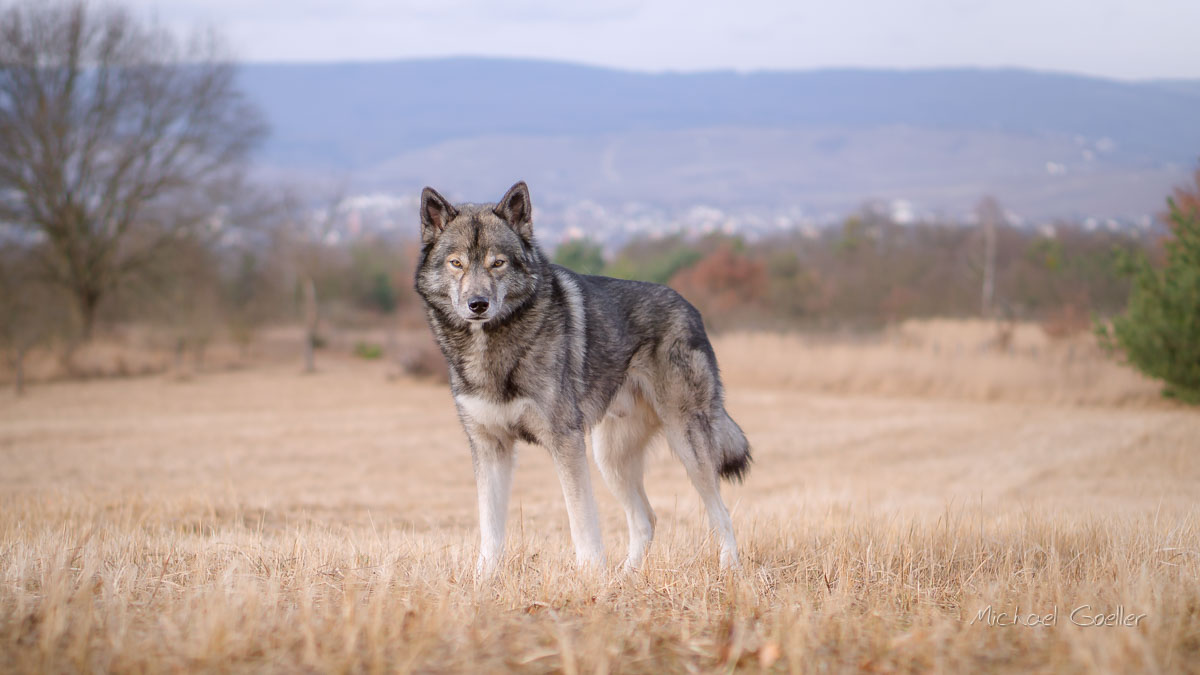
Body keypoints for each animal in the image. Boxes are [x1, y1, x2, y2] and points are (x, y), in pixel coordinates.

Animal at [415, 181, 748, 569]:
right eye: (457, 263)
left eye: (497, 263)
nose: (477, 305)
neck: (494, 349)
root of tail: (692, 310)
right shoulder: (490, 447)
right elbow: (490, 531)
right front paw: (484, 578)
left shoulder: (566, 443)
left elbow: (582, 522)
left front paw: (590, 574)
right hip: (611, 458)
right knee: (646, 519)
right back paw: (626, 576)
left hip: (686, 444)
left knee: (721, 513)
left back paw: (728, 568)